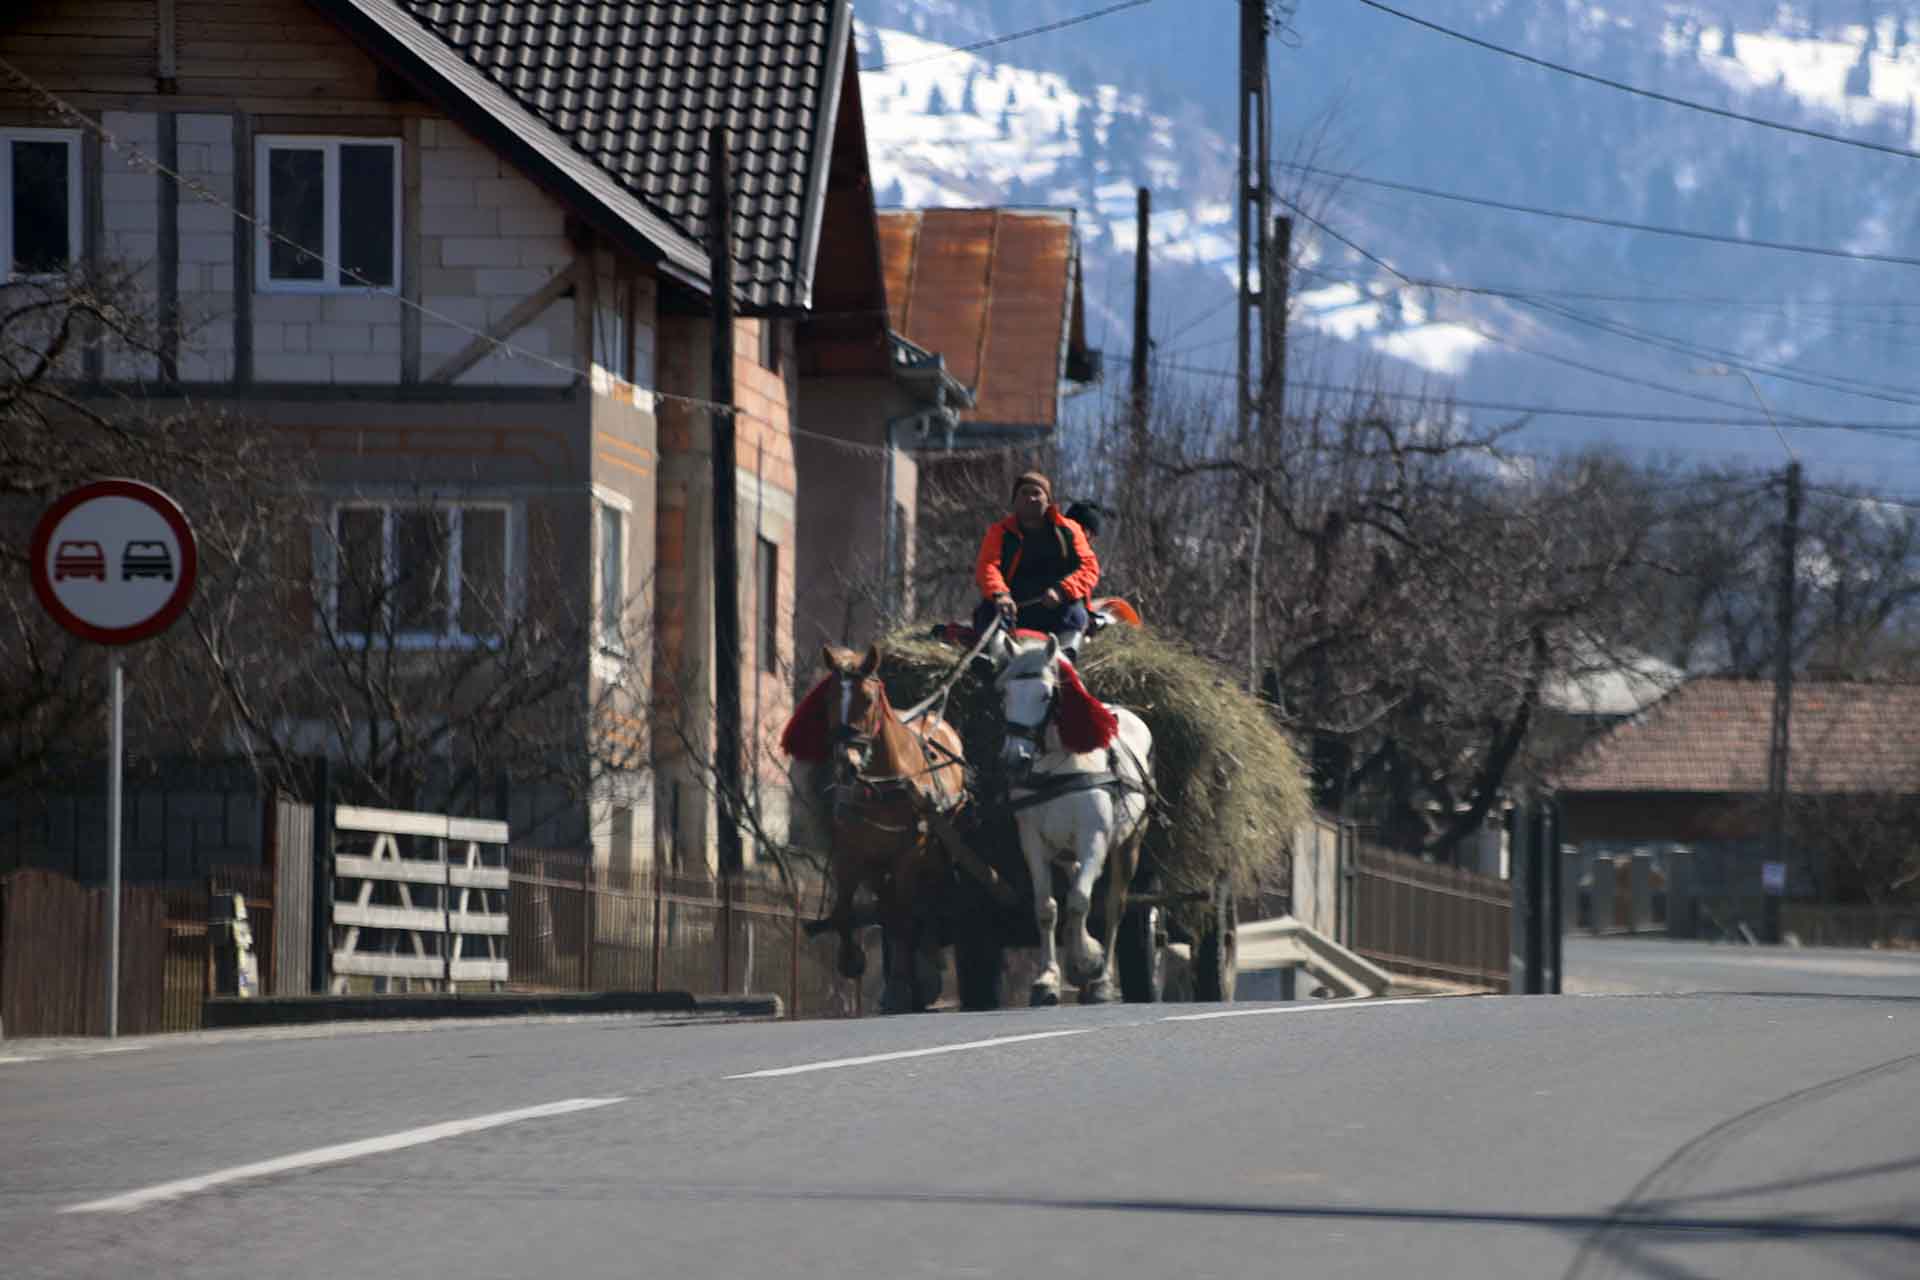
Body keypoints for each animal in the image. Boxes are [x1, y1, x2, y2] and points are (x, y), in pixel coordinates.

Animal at [775, 644, 960, 1013]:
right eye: (830, 699)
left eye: (869, 699)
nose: (847, 762)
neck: (883, 783)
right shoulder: (851, 852)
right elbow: (846, 909)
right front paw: (851, 959)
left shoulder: (909, 854)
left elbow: (903, 915)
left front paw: (901, 986)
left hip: (933, 847)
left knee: (927, 898)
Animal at [998, 637, 1144, 1005]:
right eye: (1005, 694)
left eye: (1046, 695)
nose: (1014, 759)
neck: (1059, 770)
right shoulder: (1032, 842)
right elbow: (1046, 908)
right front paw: (1048, 979)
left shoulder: (1095, 837)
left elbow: (1079, 900)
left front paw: (1089, 964)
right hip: (1066, 849)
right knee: (1076, 877)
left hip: (1129, 844)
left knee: (1113, 905)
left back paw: (1100, 976)